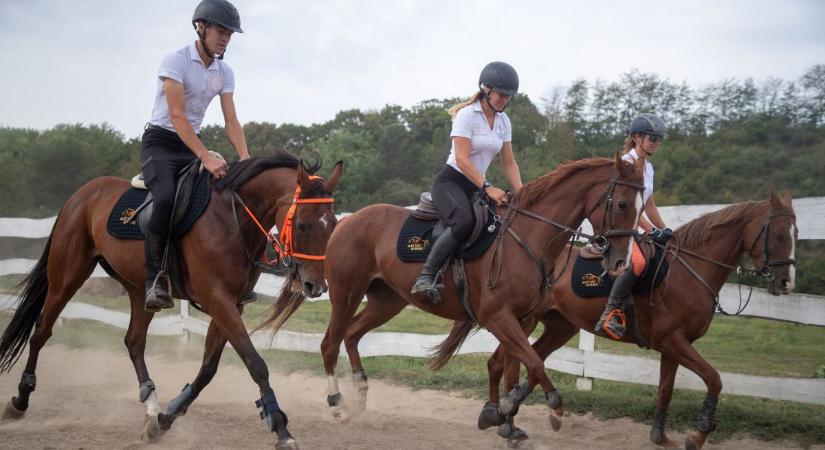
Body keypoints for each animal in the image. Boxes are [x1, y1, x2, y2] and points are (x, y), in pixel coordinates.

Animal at [0, 152, 342, 450]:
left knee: (134, 341)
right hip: (67, 275)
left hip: (139, 290)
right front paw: (281, 429)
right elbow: (255, 364)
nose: (316, 286)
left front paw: (166, 419)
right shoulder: (218, 299)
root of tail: (82, 194)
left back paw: (151, 407)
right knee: (42, 331)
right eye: (302, 225)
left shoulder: (232, 304)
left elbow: (208, 369)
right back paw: (20, 400)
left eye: (333, 226)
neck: (232, 219)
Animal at [260, 155, 648, 432]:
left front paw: (505, 418)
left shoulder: (522, 319)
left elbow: (513, 366)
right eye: (622, 204)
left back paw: (361, 392)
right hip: (346, 294)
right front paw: (551, 408)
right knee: (330, 343)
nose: (619, 260)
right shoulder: (497, 317)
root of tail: (344, 222)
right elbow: (532, 363)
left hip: (388, 301)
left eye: (641, 205)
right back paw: (338, 403)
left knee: (352, 335)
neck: (528, 237)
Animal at [480, 185, 796, 448]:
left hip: (559, 327)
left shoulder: (673, 347)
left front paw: (660, 436)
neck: (688, 271)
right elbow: (714, 378)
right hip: (522, 320)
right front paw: (699, 433)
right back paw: (506, 420)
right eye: (780, 234)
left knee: (528, 361)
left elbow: (665, 390)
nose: (786, 283)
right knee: (507, 363)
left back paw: (511, 416)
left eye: (795, 234)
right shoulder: (672, 341)